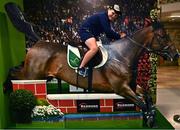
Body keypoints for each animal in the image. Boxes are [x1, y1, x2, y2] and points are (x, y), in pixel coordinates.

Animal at [3, 21, 179, 127]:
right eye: (162, 36)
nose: (176, 54)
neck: (122, 56)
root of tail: (37, 43)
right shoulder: (121, 88)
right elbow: (142, 103)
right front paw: (149, 120)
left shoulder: (131, 85)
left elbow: (147, 97)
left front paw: (150, 117)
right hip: (32, 76)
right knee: (15, 74)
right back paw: (6, 89)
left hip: (42, 75)